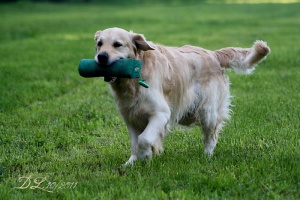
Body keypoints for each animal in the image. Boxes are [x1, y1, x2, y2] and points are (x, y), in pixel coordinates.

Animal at [93, 27, 270, 165]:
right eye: (99, 44)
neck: (134, 77)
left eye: (117, 44)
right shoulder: (130, 117)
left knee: (211, 136)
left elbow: (144, 139)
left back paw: (207, 156)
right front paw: (131, 163)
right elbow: (135, 143)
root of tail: (213, 54)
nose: (101, 57)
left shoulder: (161, 113)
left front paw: (146, 156)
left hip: (207, 111)